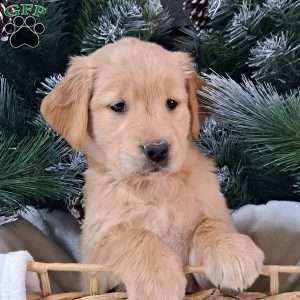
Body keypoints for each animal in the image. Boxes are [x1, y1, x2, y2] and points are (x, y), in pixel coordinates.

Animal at [41, 38, 264, 300]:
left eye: (171, 103)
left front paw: (232, 251)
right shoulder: (95, 256)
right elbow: (132, 235)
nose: (157, 150)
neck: (155, 187)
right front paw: (157, 280)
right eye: (118, 106)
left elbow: (209, 224)